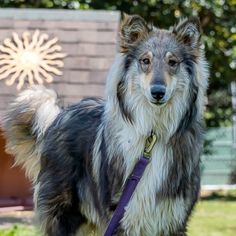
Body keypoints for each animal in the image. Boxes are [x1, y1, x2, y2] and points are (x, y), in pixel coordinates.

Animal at [2, 13, 208, 235]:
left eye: (173, 62)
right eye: (145, 61)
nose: (158, 92)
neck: (153, 133)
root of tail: (59, 116)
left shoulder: (172, 220)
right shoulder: (120, 216)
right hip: (65, 215)